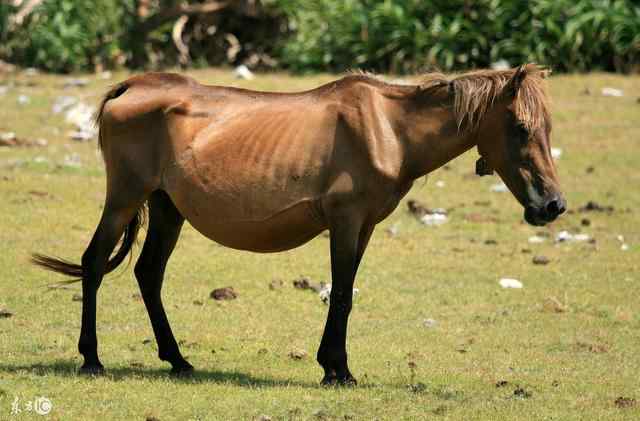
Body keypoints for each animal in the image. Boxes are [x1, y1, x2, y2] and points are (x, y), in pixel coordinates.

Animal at [33, 63, 564, 384]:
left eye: (547, 128)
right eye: (521, 128)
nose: (552, 206)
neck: (390, 128)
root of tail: (133, 86)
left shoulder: (366, 227)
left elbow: (345, 292)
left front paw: (334, 365)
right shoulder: (346, 222)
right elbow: (342, 294)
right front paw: (338, 370)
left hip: (166, 208)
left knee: (148, 274)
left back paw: (178, 360)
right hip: (125, 198)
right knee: (94, 263)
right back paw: (92, 358)